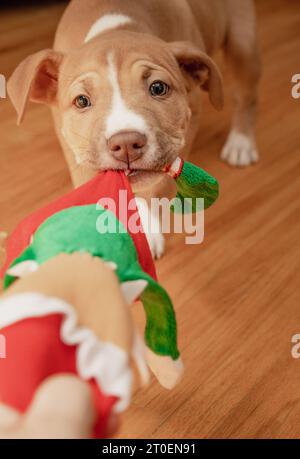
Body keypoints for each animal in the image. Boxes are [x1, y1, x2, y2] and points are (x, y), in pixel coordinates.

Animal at [7, 0, 260, 258]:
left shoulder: (186, 129)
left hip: (243, 44)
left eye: (158, 88)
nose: (126, 143)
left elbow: (157, 188)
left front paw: (146, 232)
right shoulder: (72, 143)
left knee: (246, 96)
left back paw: (240, 144)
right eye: (81, 101)